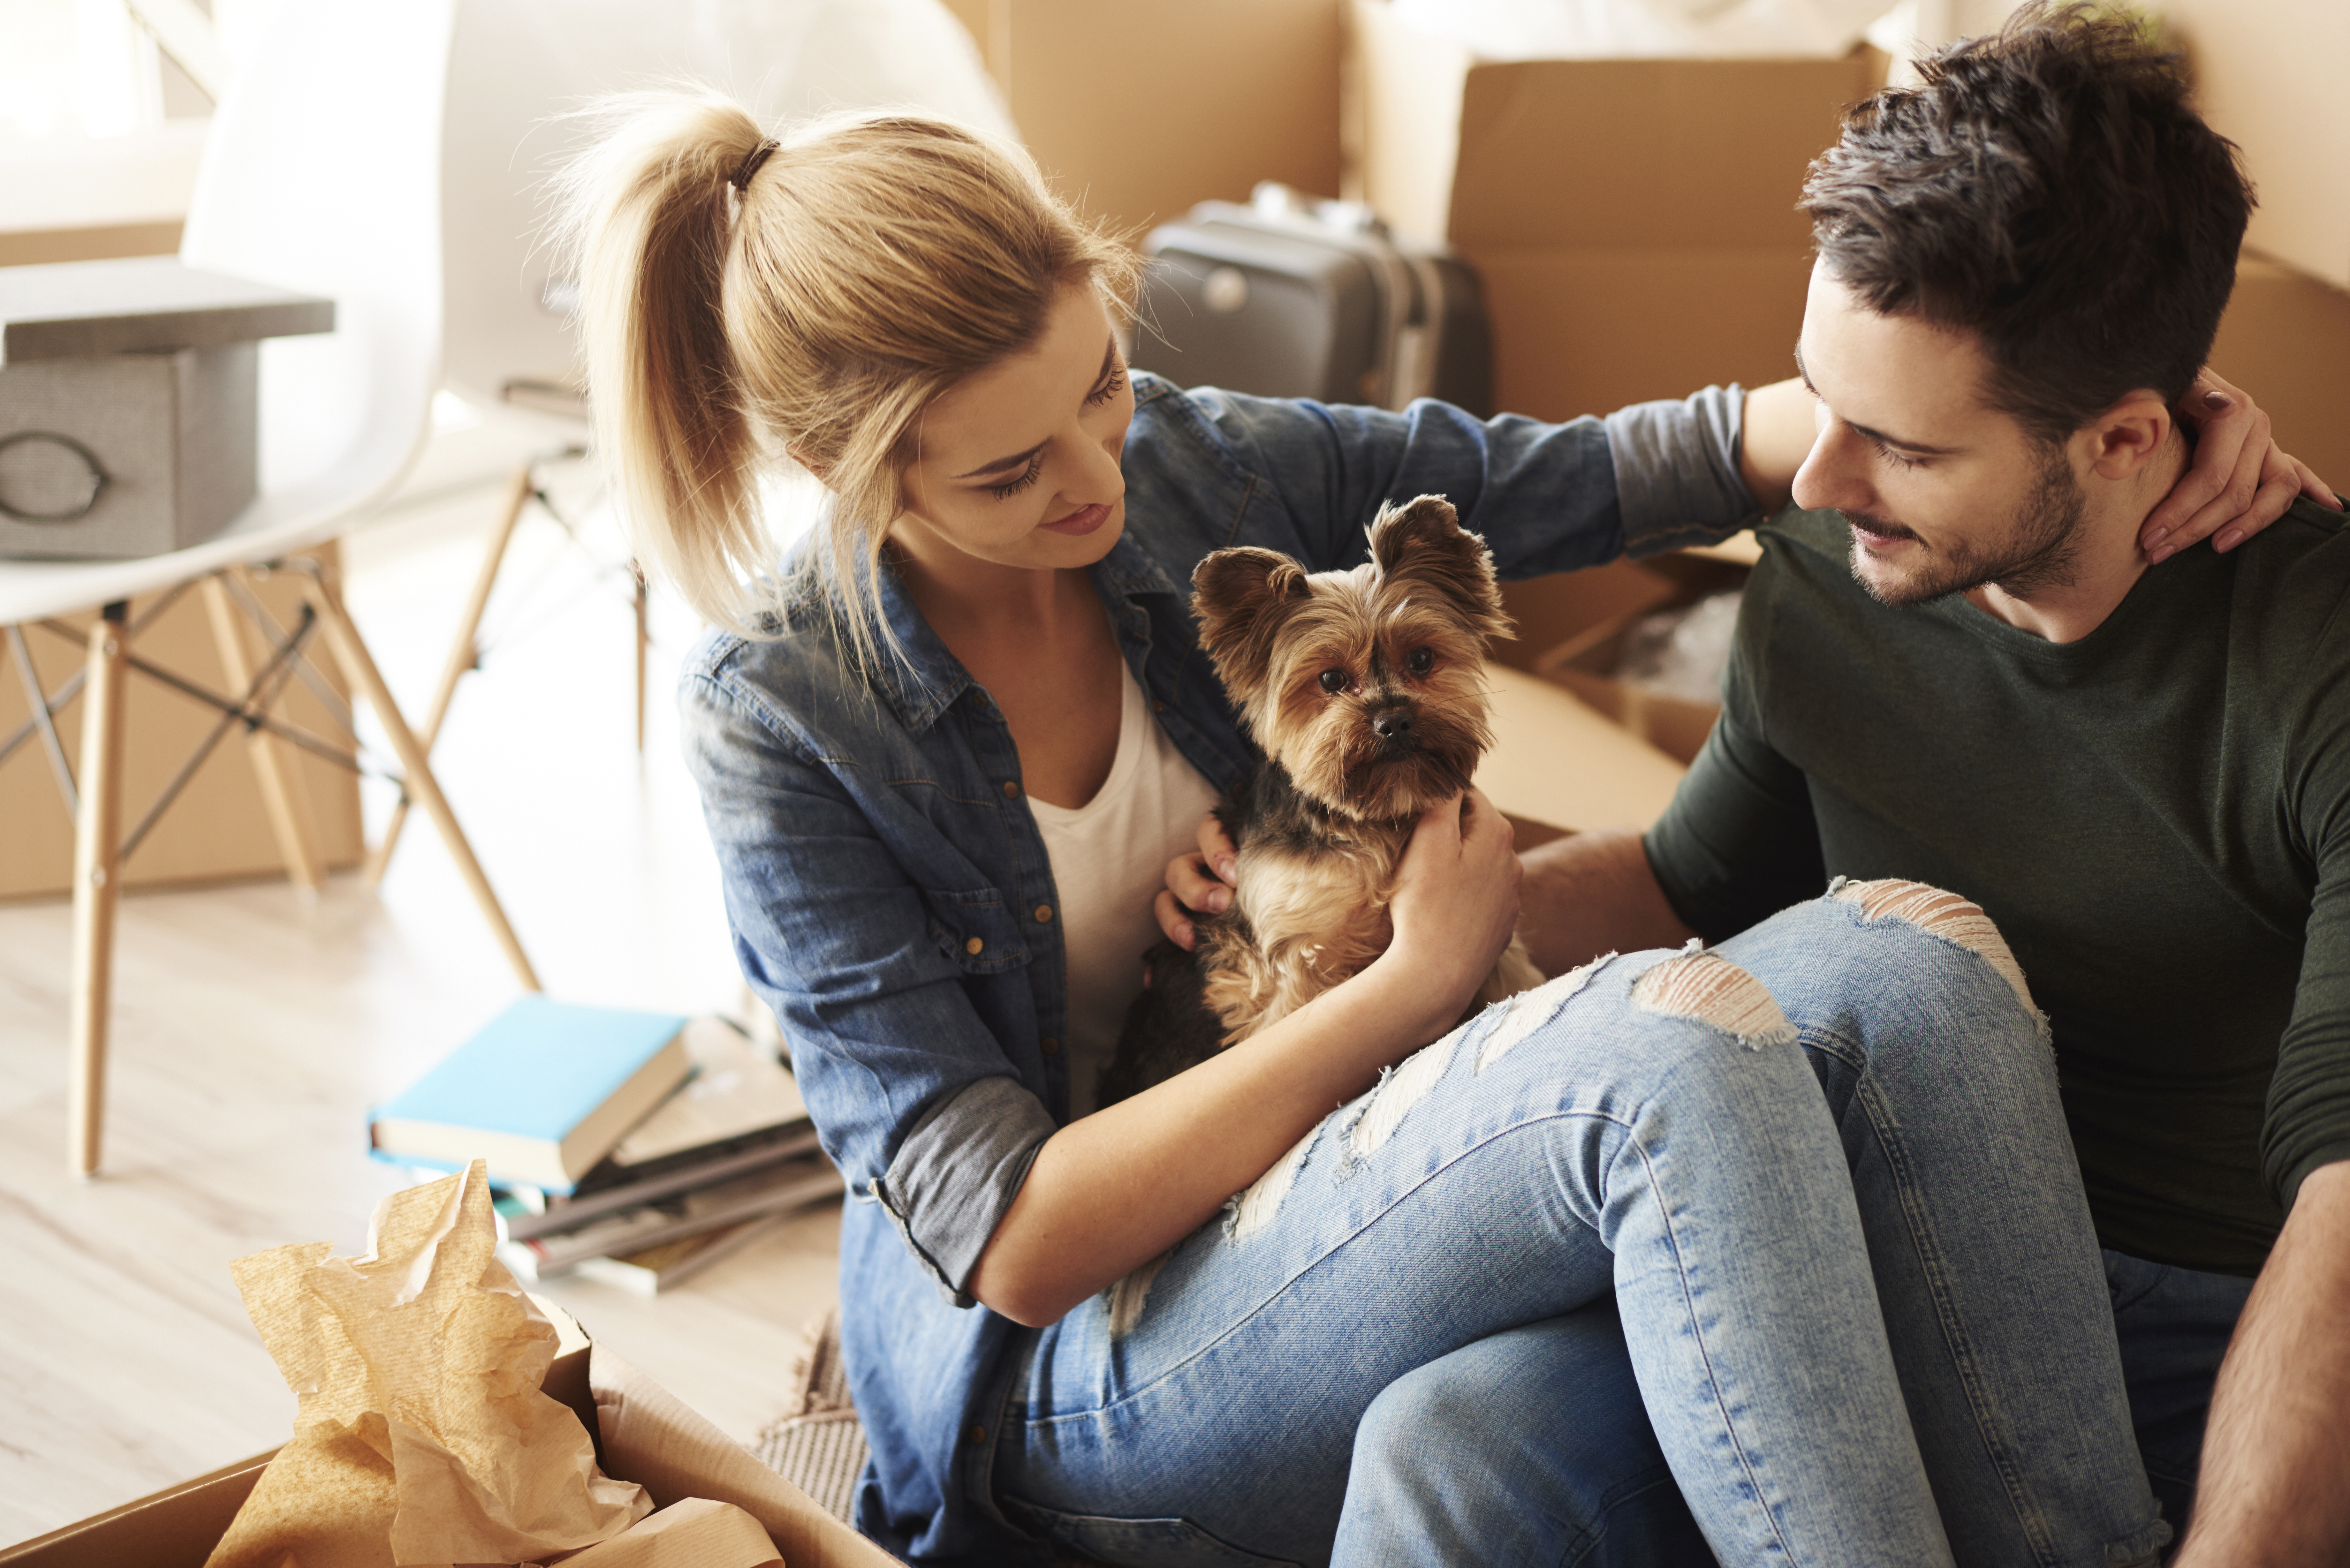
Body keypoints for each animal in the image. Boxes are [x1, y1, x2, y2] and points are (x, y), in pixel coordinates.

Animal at [1095, 496, 1542, 1109]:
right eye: (1331, 679)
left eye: (1422, 659)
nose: (1394, 719)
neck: (1376, 817)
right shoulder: (1295, 957)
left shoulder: (1497, 943)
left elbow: (1515, 975)